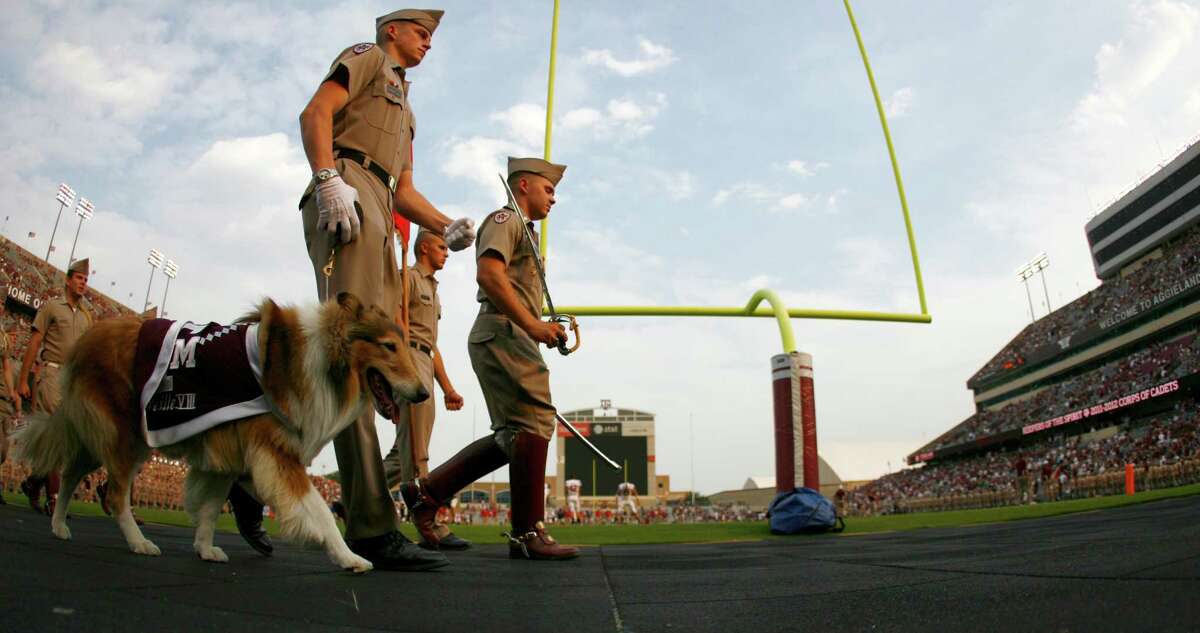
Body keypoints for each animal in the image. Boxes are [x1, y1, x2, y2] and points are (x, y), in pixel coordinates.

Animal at [14, 292, 424, 573]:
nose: (422, 394)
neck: (322, 358)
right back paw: (139, 542)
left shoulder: (224, 453)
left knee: (70, 472)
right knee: (114, 494)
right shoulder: (277, 453)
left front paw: (205, 548)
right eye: (389, 346)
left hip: (101, 437)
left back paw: (58, 526)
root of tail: (88, 337)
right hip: (125, 437)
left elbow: (211, 508)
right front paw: (349, 556)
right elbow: (321, 512)